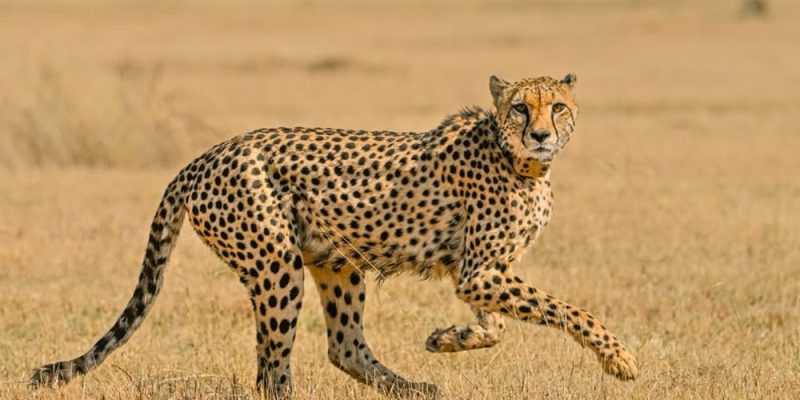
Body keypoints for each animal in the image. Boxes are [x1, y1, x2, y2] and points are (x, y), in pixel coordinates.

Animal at [30, 74, 638, 397]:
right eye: (519, 108)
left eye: (557, 107)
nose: (540, 135)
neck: (522, 163)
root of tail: (206, 155)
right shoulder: (480, 273)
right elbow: (570, 310)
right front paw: (619, 359)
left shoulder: (481, 273)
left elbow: (497, 328)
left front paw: (447, 339)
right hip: (277, 264)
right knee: (271, 369)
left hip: (335, 262)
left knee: (344, 346)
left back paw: (414, 387)